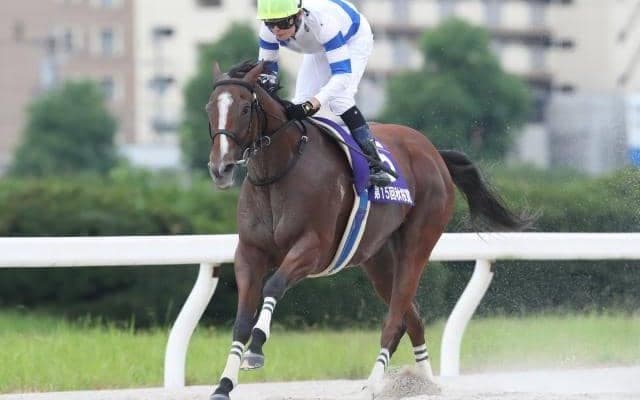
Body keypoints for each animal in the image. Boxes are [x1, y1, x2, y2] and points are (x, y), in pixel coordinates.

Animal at [205, 60, 528, 400]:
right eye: (209, 108)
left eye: (244, 108)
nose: (221, 168)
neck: (280, 172)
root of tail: (434, 153)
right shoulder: (249, 253)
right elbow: (242, 319)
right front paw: (224, 384)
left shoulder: (313, 249)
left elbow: (273, 286)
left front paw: (255, 350)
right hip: (378, 259)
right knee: (412, 318)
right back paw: (425, 384)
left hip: (418, 243)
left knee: (395, 317)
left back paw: (373, 385)